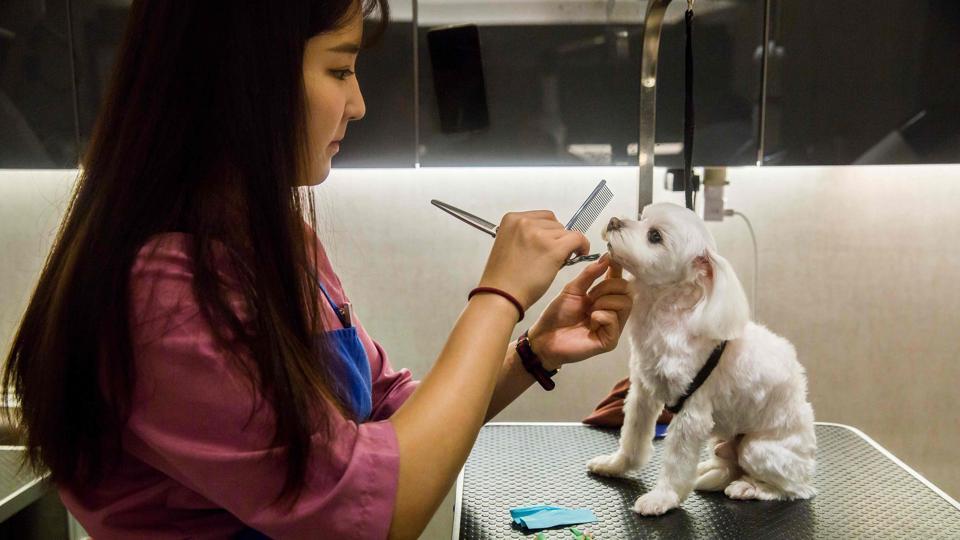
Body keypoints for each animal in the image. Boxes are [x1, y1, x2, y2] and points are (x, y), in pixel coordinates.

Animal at [584, 202, 816, 516]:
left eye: (655, 236)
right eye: (641, 217)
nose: (614, 221)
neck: (661, 316)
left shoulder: (691, 411)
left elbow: (677, 462)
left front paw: (662, 498)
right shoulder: (643, 392)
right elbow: (632, 438)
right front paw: (615, 465)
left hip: (760, 449)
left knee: (790, 489)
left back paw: (751, 487)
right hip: (721, 438)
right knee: (730, 465)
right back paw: (711, 473)